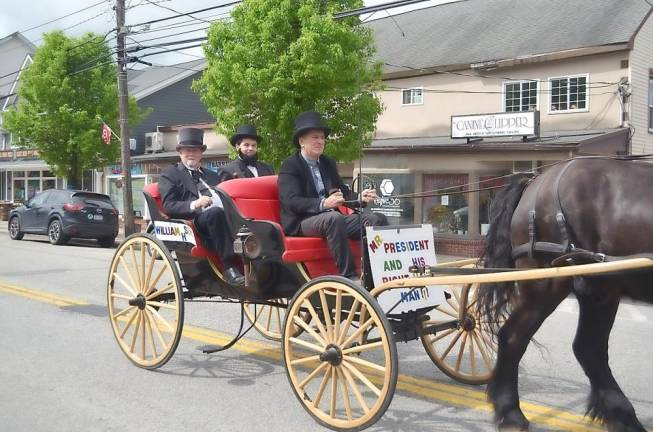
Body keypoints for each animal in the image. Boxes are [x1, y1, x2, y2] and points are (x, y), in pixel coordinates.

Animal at [476, 156, 652, 432]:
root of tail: (535, 182)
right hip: (548, 286)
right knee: (514, 337)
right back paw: (510, 413)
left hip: (599, 288)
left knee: (588, 348)